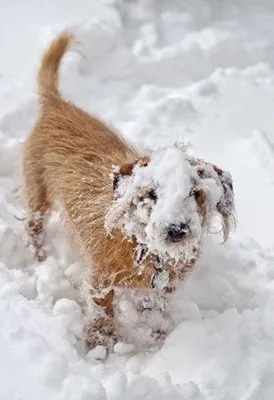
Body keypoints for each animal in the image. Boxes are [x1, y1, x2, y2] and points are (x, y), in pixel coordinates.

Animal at [22, 30, 234, 350]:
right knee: (33, 226)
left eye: (194, 193)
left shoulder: (161, 289)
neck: (141, 243)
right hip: (38, 193)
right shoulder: (100, 281)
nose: (176, 229)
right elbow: (102, 312)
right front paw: (99, 346)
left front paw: (157, 335)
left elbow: (153, 308)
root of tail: (55, 103)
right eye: (152, 193)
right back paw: (40, 256)